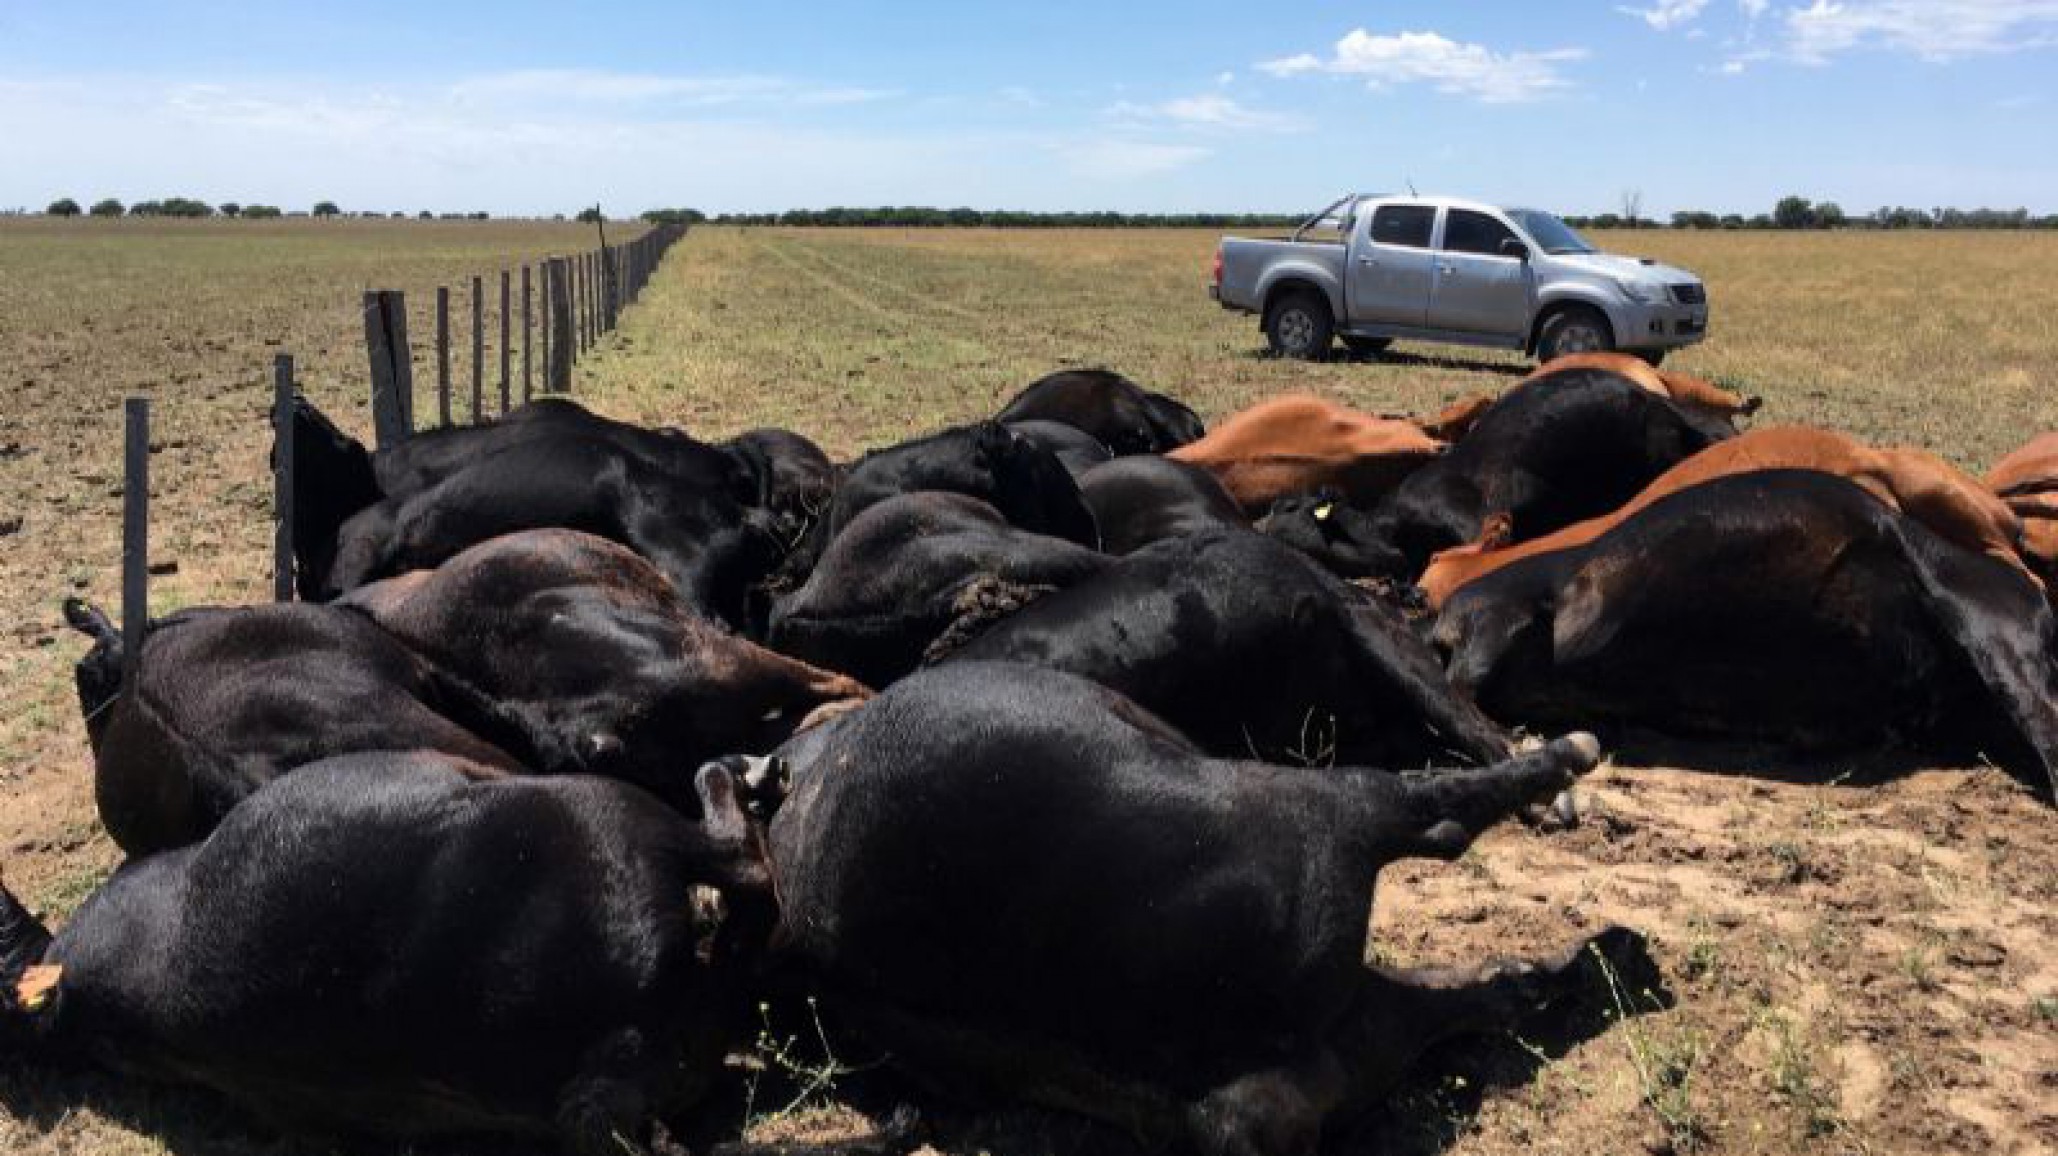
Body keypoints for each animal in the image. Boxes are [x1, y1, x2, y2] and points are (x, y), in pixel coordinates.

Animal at [766, 662, 1660, 1156]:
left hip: (1356, 1026)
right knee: (1426, 817)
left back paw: (1601, 959)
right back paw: (1575, 779)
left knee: (1488, 987)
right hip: (1315, 827)